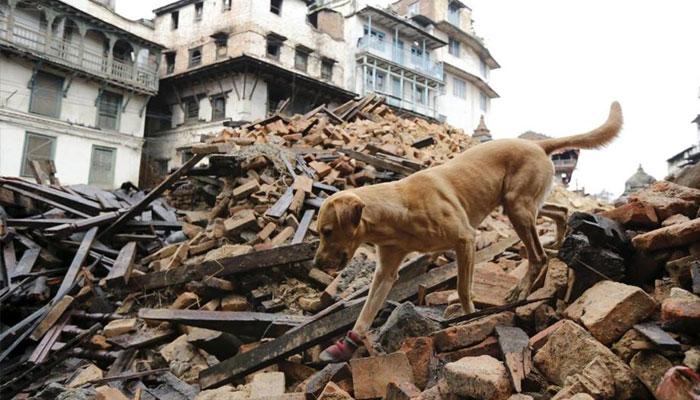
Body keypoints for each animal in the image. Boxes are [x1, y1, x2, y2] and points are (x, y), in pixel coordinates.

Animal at [314, 101, 620, 362]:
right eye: (319, 232)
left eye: (327, 231)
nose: (317, 262)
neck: (397, 209)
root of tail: (536, 144)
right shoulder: (386, 270)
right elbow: (366, 311)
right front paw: (346, 345)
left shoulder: (465, 240)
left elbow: (462, 289)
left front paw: (470, 320)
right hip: (520, 204)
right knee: (560, 210)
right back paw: (558, 238)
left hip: (517, 207)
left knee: (538, 256)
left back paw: (522, 288)